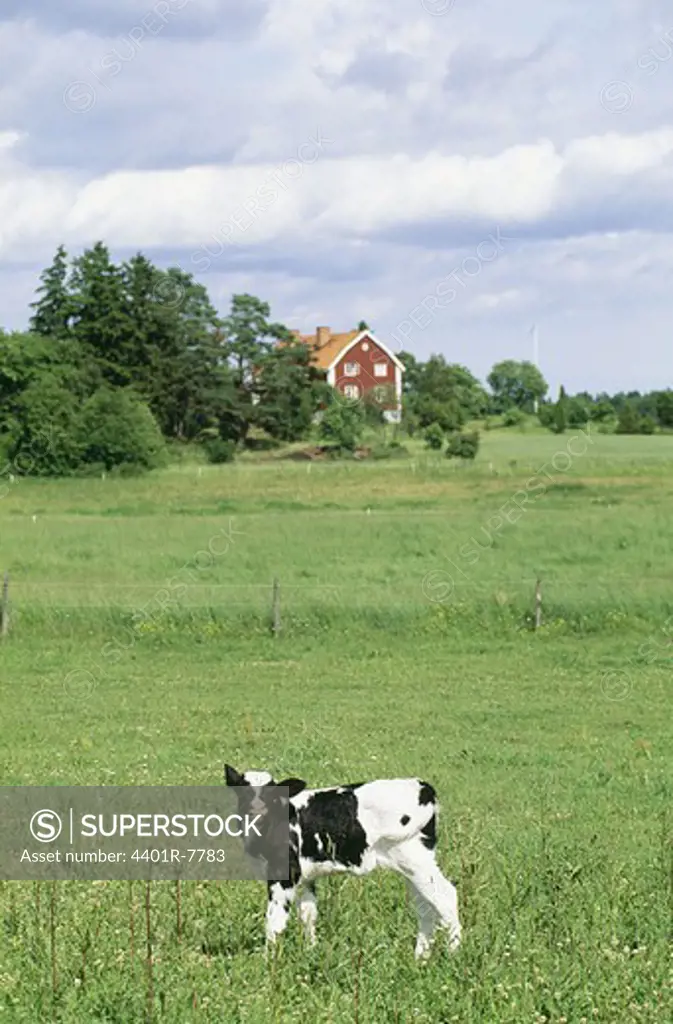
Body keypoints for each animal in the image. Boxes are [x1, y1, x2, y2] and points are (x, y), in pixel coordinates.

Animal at [223, 765, 458, 962]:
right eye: (243, 792)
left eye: (272, 795)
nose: (256, 810)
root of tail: (422, 785)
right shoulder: (306, 876)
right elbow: (308, 914)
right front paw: (311, 951)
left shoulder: (284, 873)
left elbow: (274, 919)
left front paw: (268, 960)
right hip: (411, 866)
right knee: (425, 907)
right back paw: (420, 957)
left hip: (415, 861)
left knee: (446, 897)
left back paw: (453, 953)